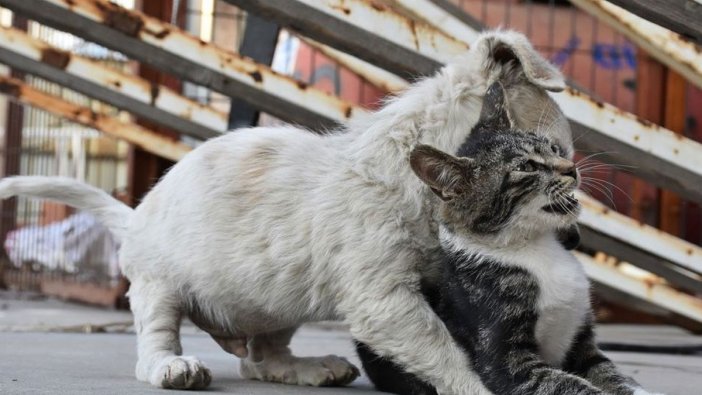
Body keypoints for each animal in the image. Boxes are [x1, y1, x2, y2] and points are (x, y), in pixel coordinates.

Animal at [358, 83, 664, 395]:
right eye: (526, 168)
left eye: (553, 148)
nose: (571, 168)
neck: (534, 244)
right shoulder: (506, 362)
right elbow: (568, 385)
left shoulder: (583, 345)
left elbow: (611, 374)